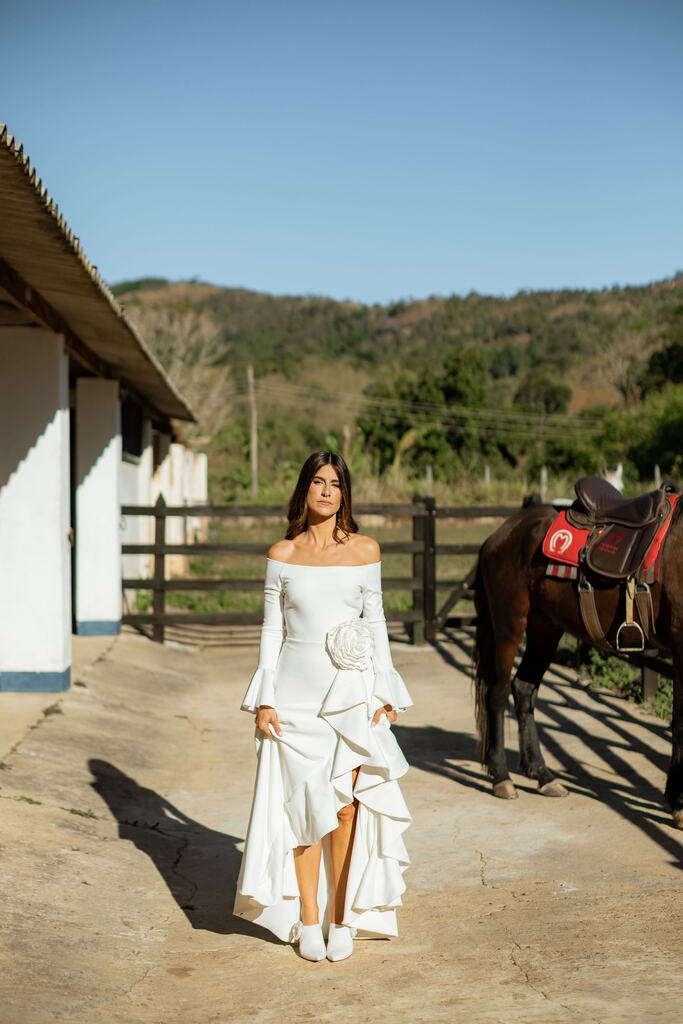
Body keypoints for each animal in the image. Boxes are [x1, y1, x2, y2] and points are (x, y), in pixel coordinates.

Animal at [473, 497, 683, 831]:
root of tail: (501, 533)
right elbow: (680, 725)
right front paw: (678, 804)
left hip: (545, 628)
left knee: (524, 688)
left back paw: (542, 775)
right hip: (510, 625)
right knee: (497, 693)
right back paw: (502, 778)